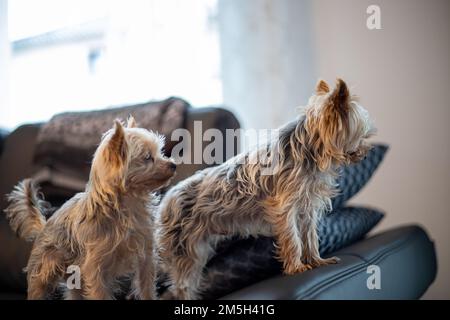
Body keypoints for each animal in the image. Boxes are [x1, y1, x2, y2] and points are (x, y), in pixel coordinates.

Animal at [3, 117, 176, 300]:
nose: (173, 165)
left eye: (160, 152)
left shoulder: (146, 259)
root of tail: (44, 226)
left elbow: (147, 289)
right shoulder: (95, 270)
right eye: (148, 157)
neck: (128, 204)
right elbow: (99, 293)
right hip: (42, 276)